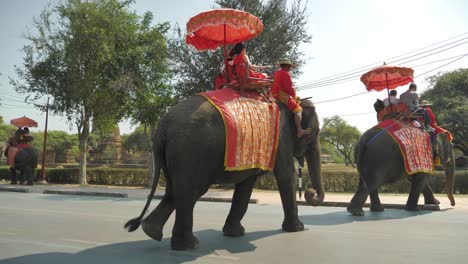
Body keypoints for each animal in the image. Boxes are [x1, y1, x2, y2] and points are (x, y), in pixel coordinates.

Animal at [124, 94, 324, 250]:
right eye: (315, 133)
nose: (310, 192)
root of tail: (162, 127)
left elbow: (246, 184)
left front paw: (234, 234)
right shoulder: (280, 139)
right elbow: (285, 174)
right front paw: (297, 229)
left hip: (173, 155)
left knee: (174, 191)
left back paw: (151, 231)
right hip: (190, 152)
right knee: (190, 192)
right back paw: (189, 245)